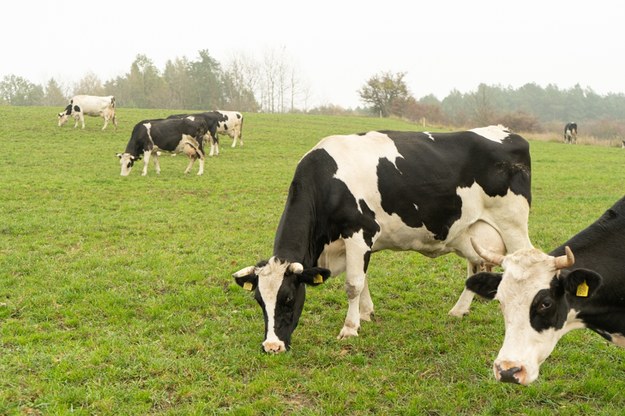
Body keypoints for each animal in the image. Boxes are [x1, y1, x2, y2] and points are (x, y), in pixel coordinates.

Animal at [233, 125, 532, 352]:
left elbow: (353, 284)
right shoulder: (358, 243)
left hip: (513, 226)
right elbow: (362, 279)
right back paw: (459, 310)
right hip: (471, 232)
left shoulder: (358, 231)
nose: (272, 347)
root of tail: (506, 131)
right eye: (259, 301)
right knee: (475, 267)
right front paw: (365, 314)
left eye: (288, 299)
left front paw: (349, 328)